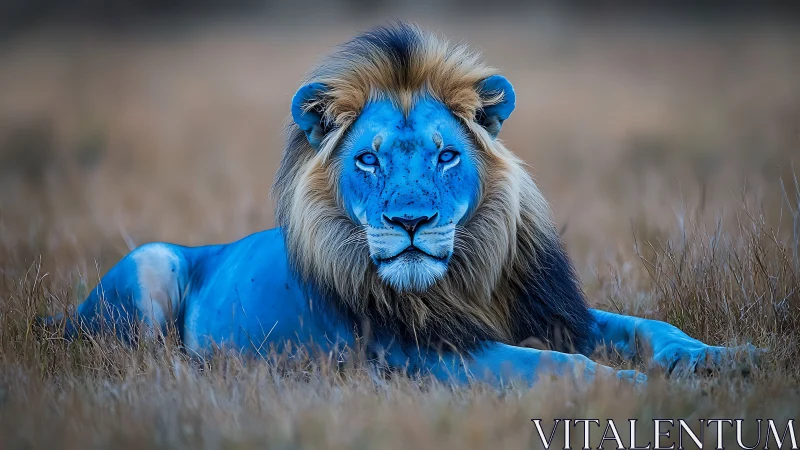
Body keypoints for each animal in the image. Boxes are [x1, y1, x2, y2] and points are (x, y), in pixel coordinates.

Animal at [48, 22, 758, 384]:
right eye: (369, 159)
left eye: (447, 156)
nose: (410, 222)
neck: (467, 279)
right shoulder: (430, 353)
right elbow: (558, 365)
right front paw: (635, 390)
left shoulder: (556, 311)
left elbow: (647, 328)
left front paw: (729, 360)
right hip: (151, 262)